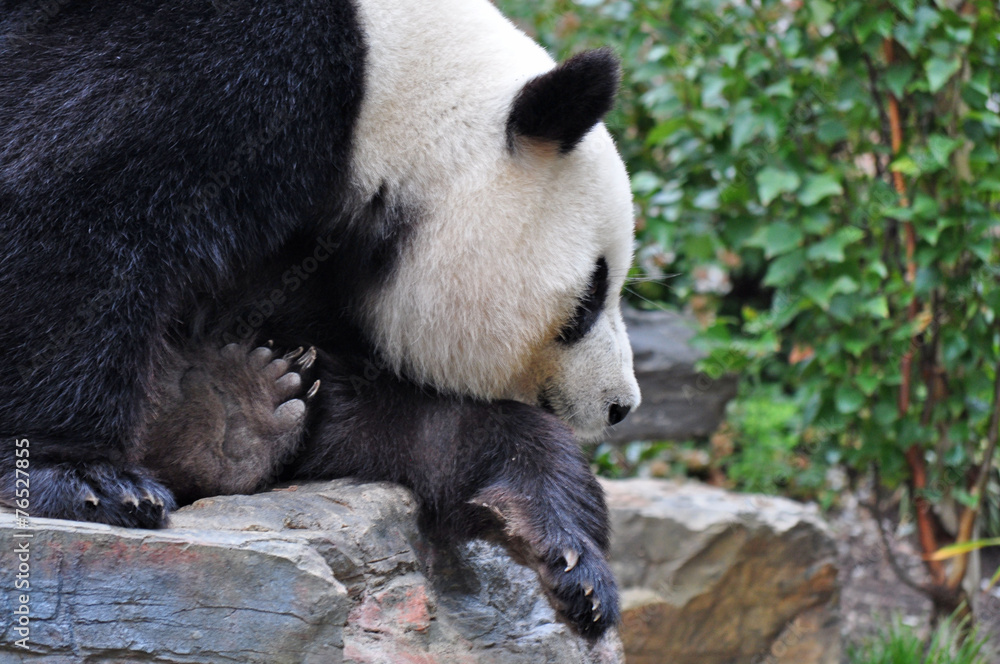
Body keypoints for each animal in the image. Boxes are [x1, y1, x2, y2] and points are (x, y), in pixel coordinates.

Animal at [0, 0, 640, 637]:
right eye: (590, 295)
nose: (619, 405)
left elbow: (385, 420)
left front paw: (570, 557)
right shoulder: (207, 63)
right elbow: (72, 209)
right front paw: (84, 476)